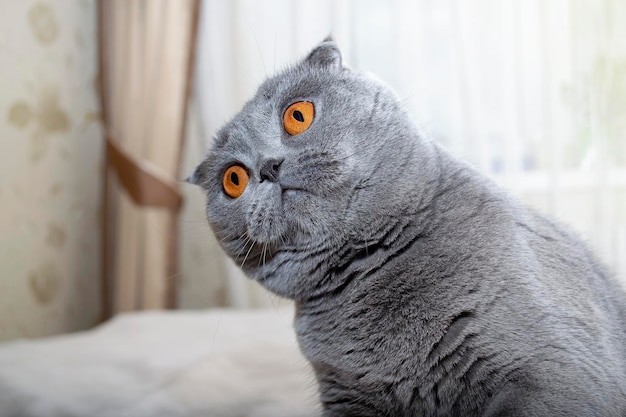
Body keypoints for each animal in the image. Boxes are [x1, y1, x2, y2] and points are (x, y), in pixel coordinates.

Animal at [189, 39, 624, 416]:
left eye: (297, 115)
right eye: (233, 180)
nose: (268, 166)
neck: (368, 267)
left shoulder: (556, 374)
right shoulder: (346, 393)